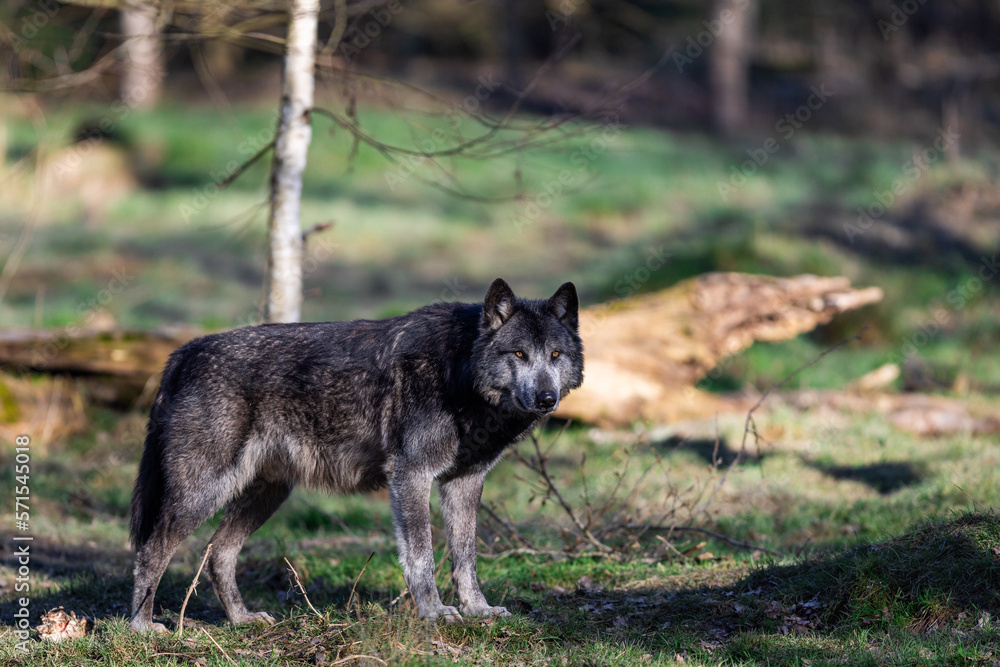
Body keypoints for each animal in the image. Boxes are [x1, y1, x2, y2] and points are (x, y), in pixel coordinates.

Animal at [129, 280, 584, 636]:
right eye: (519, 354)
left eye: (555, 355)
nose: (547, 398)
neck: (457, 370)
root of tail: (184, 352)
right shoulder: (411, 475)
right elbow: (421, 556)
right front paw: (435, 613)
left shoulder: (464, 483)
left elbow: (466, 557)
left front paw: (477, 610)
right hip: (202, 493)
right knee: (152, 550)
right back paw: (143, 628)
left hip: (266, 495)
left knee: (217, 554)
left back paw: (241, 620)